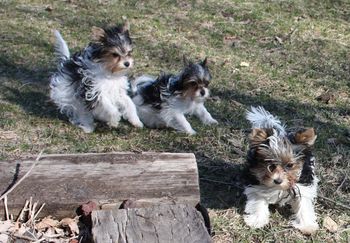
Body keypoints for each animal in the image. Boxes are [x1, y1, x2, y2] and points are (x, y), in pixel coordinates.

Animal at [242, 107, 318, 235]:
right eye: (270, 165)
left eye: (290, 165)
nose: (277, 181)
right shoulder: (256, 182)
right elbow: (258, 200)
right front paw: (257, 220)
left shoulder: (302, 184)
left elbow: (303, 204)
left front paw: (306, 225)